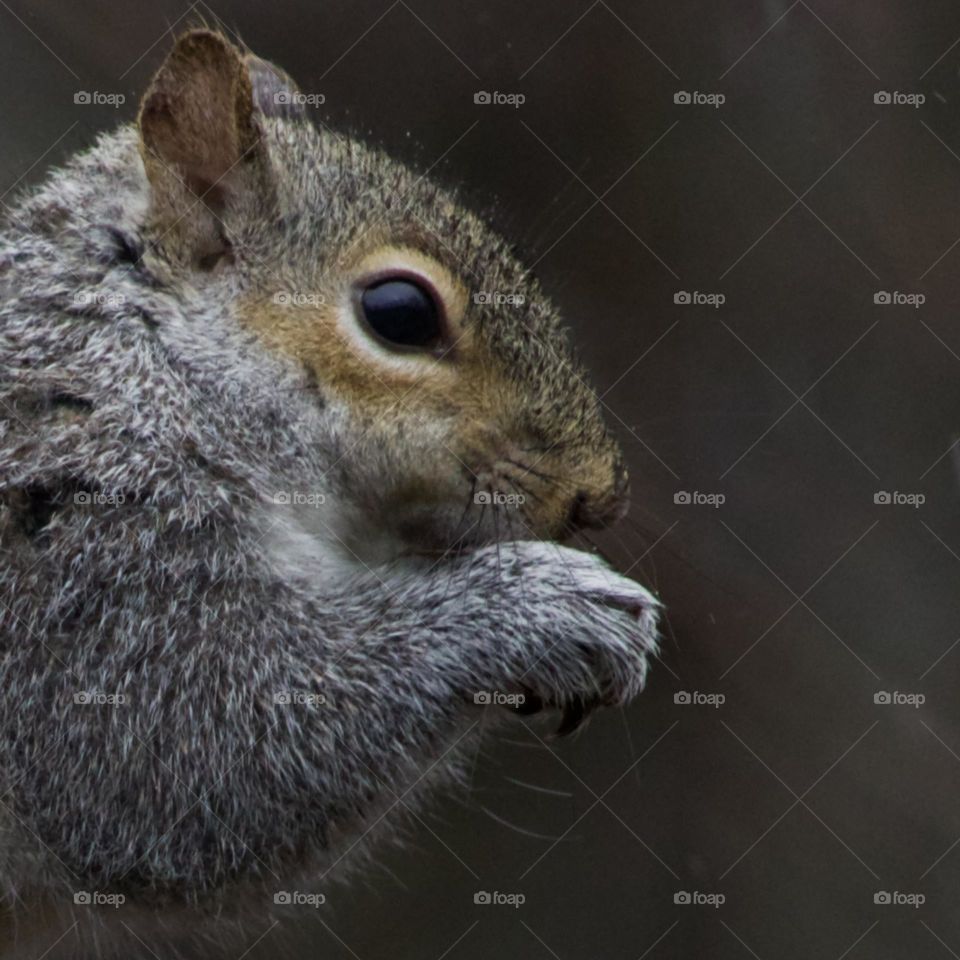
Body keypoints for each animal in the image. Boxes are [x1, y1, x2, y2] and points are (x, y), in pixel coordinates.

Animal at [0, 26, 660, 956]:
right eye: (400, 312)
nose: (599, 497)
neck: (145, 374)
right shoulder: (90, 550)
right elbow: (185, 758)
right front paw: (545, 607)